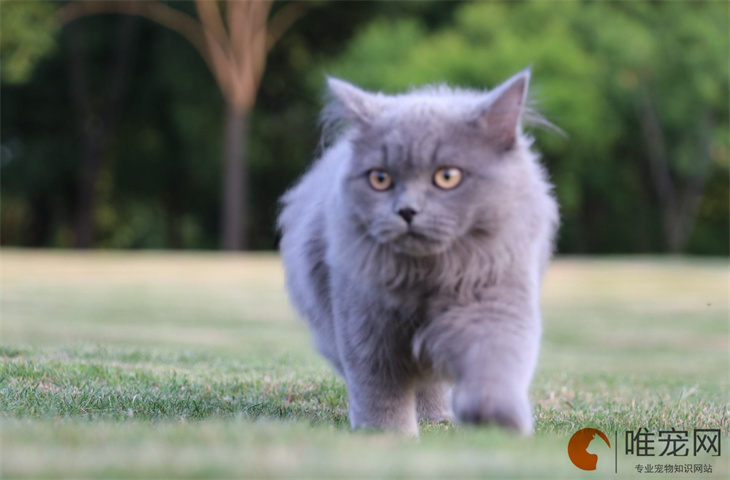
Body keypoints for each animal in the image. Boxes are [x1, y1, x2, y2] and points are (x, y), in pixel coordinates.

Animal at [278, 68, 556, 438]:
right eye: (380, 179)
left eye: (447, 177)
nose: (407, 211)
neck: (427, 274)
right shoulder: (365, 326)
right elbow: (380, 392)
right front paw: (388, 435)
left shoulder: (493, 301)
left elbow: (493, 364)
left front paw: (493, 421)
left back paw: (440, 419)